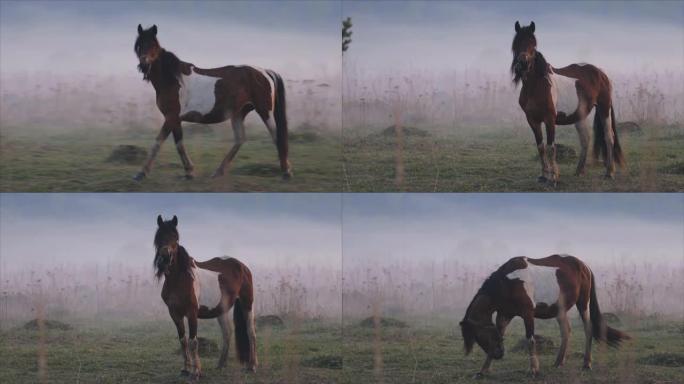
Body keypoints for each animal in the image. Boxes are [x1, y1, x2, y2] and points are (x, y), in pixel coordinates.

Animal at [134, 24, 292, 182]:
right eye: (139, 45)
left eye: (153, 45)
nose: (144, 64)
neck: (174, 79)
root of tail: (264, 72)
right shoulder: (175, 119)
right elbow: (179, 144)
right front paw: (189, 172)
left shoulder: (171, 117)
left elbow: (158, 142)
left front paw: (141, 173)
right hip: (238, 114)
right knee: (240, 139)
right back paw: (218, 172)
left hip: (265, 111)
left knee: (276, 137)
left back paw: (286, 172)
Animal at [154, 214, 258, 380]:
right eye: (159, 237)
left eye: (175, 238)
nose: (165, 257)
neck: (180, 279)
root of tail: (242, 266)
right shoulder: (175, 314)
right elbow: (183, 341)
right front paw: (185, 370)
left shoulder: (191, 313)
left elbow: (193, 342)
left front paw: (196, 372)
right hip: (221, 310)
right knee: (227, 333)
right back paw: (221, 365)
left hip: (247, 303)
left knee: (251, 332)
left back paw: (252, 366)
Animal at [460, 255, 632, 378]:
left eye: (476, 335)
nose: (499, 354)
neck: (507, 282)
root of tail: (585, 266)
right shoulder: (504, 316)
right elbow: (499, 335)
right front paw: (483, 371)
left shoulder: (527, 314)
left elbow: (530, 340)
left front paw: (533, 370)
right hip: (560, 311)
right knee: (566, 331)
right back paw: (559, 362)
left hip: (583, 304)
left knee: (588, 330)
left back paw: (586, 364)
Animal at [510, 21, 624, 184]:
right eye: (516, 43)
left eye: (533, 44)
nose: (523, 63)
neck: (537, 85)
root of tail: (601, 73)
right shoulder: (532, 120)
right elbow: (540, 146)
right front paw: (543, 175)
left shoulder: (549, 119)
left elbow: (551, 147)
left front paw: (553, 177)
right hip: (579, 115)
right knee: (585, 139)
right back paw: (579, 171)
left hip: (604, 108)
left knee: (609, 137)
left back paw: (609, 172)